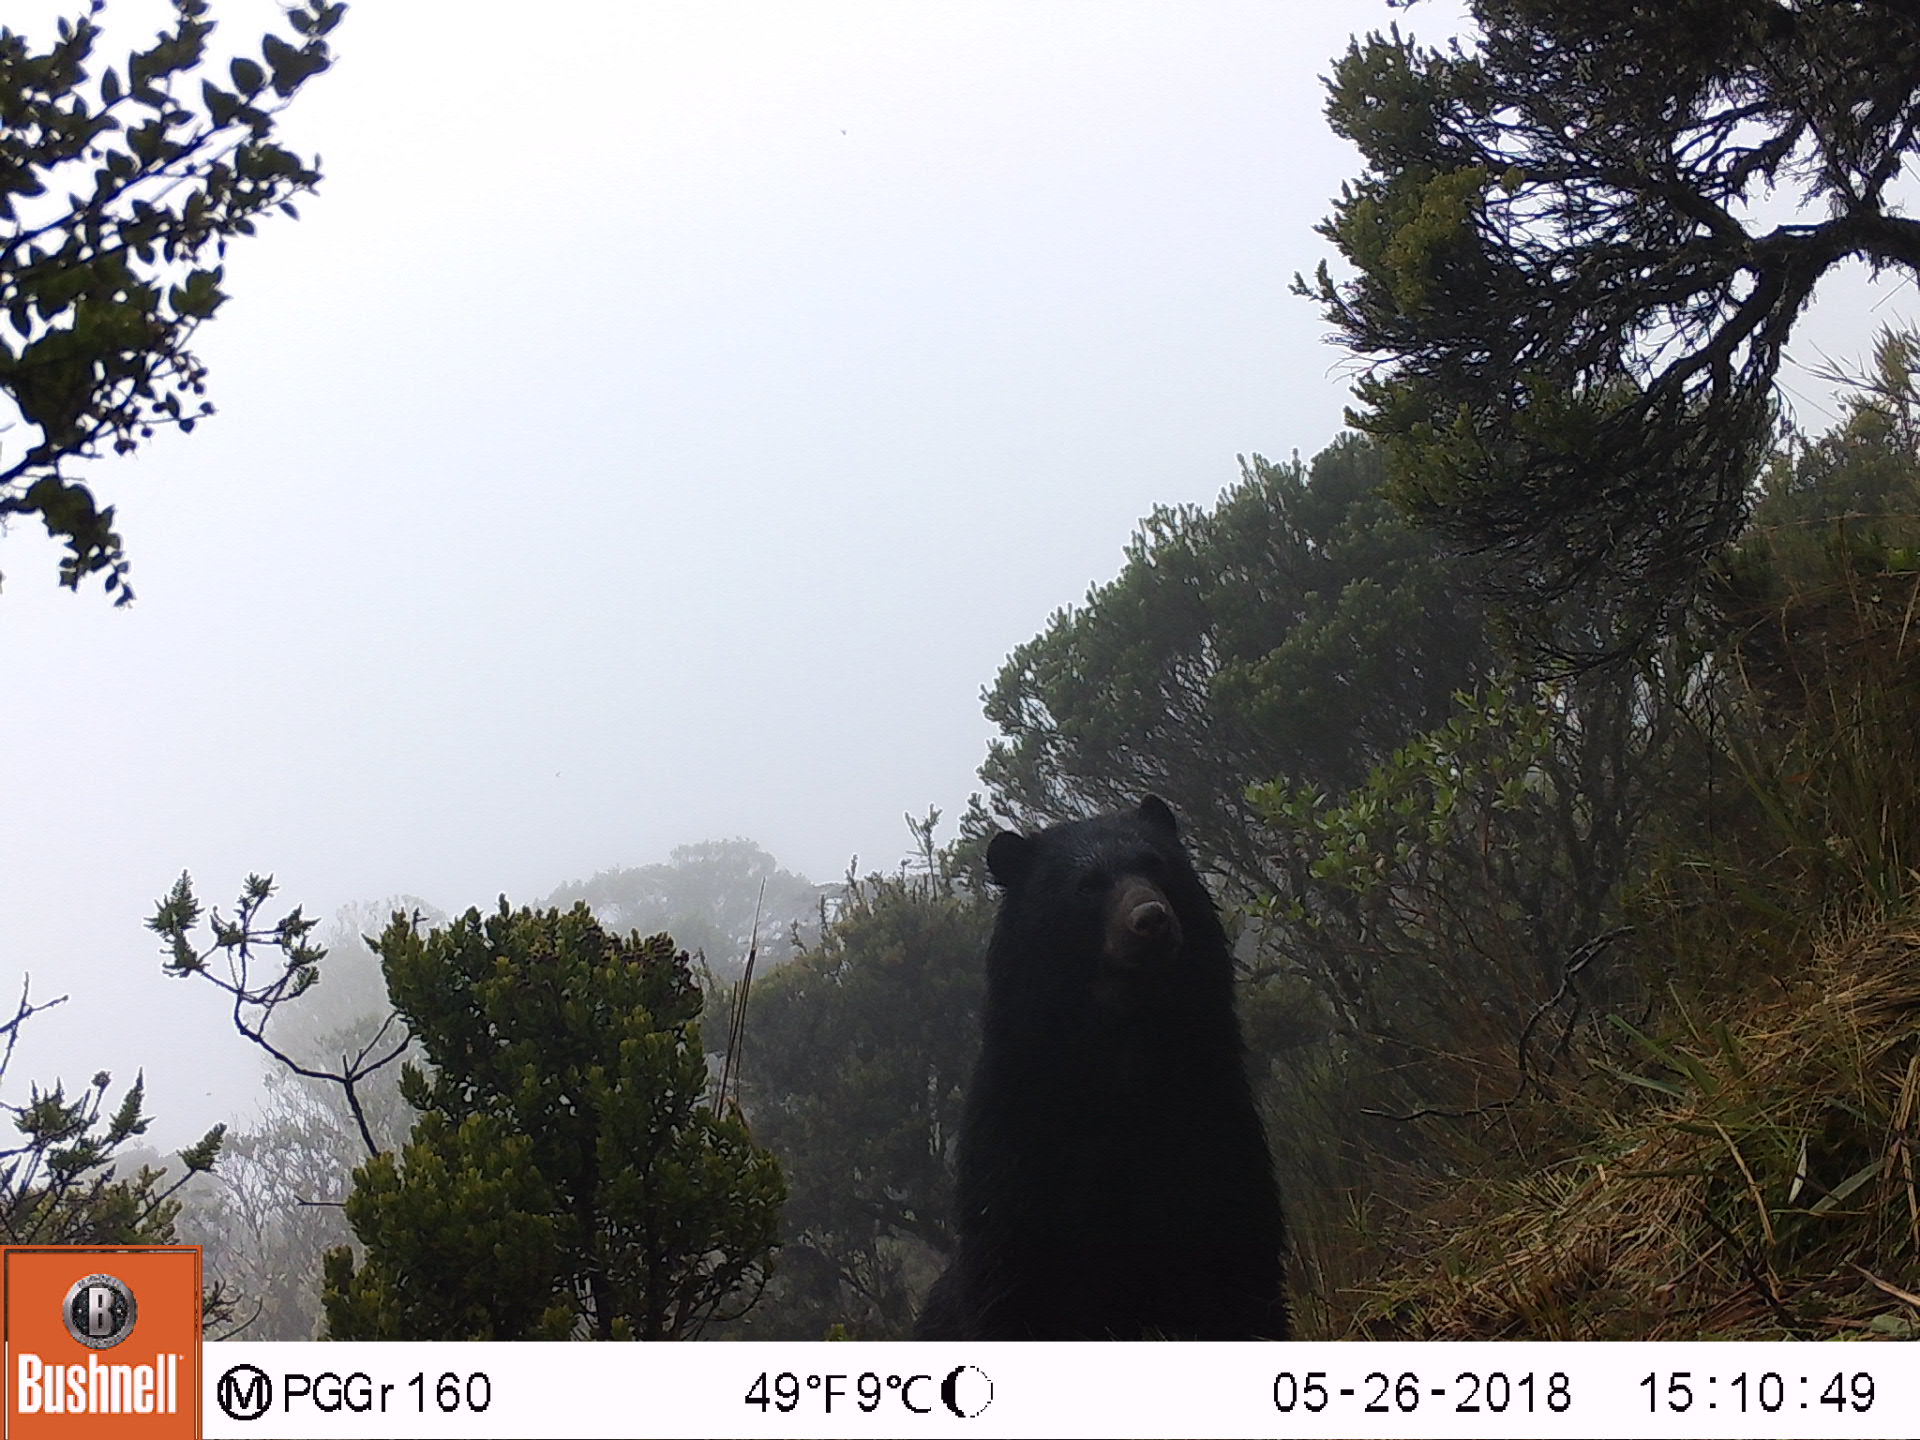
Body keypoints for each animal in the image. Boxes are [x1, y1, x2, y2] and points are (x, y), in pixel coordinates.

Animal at [914, 795, 1289, 1340]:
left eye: (1155, 863)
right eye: (1087, 885)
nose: (1151, 919)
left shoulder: (1214, 1138)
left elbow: (1236, 1278)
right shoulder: (1017, 1180)